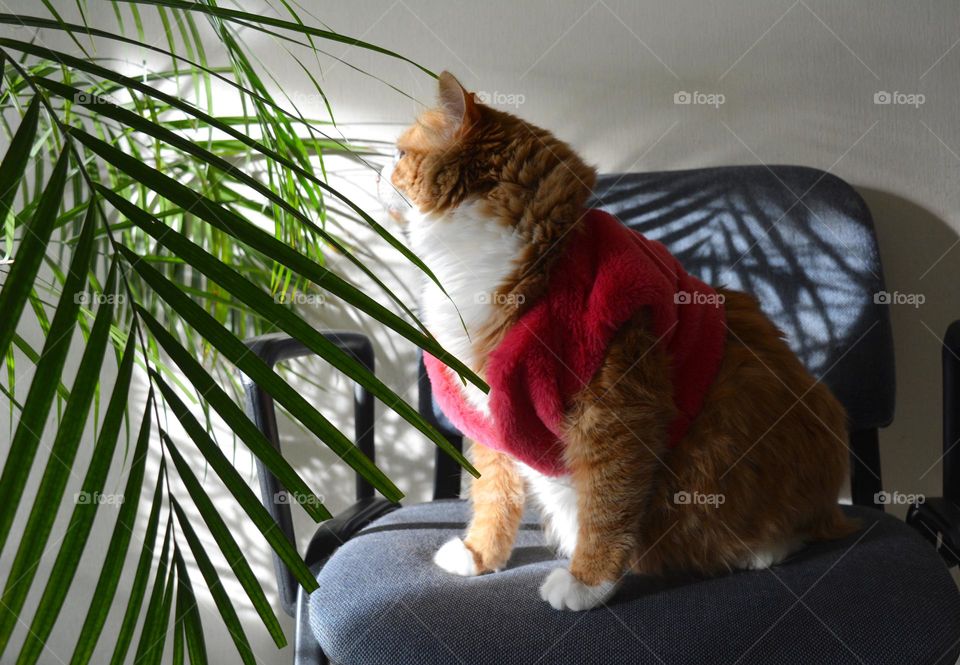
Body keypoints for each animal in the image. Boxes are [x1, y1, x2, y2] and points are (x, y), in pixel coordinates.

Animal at [378, 74, 852, 612]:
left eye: (398, 154)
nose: (376, 170)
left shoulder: (615, 407)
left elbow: (607, 503)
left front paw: (587, 581)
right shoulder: (490, 414)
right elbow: (493, 494)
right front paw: (480, 555)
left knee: (791, 527)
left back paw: (762, 550)